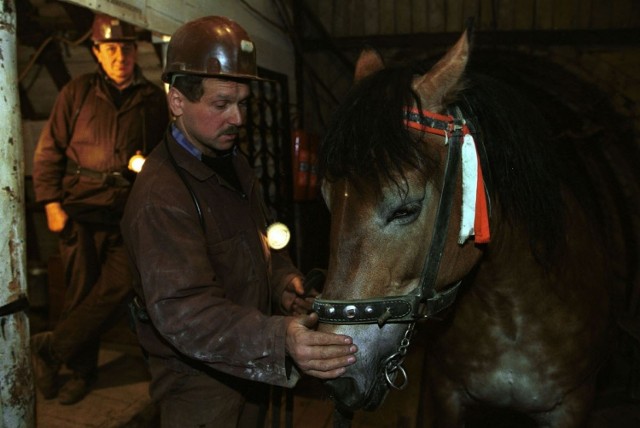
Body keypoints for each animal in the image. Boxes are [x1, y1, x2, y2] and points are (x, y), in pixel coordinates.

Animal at [312, 28, 636, 426]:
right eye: (329, 201)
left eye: (406, 209)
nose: (336, 379)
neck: (511, 314)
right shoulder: (446, 394)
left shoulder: (572, 406)